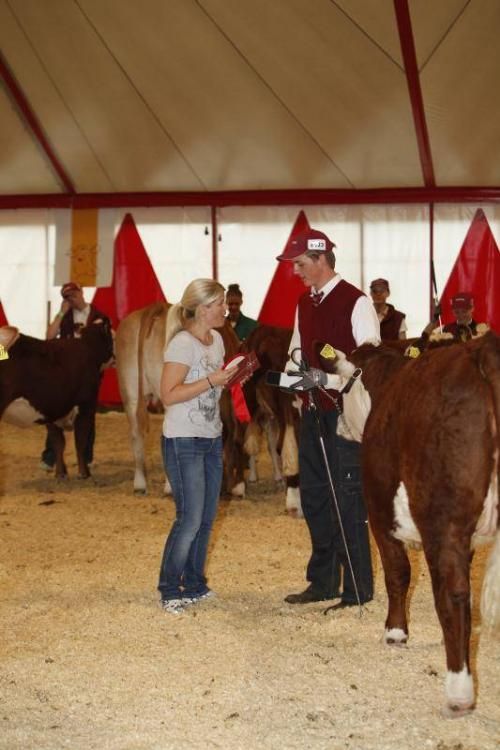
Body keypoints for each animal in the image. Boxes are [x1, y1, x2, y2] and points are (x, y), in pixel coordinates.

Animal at [328, 334, 500, 716]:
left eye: (344, 388)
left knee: (452, 593)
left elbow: (397, 574)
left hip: (444, 519)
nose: (338, 427)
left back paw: (458, 693)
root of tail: (483, 350)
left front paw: (395, 632)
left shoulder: (380, 512)